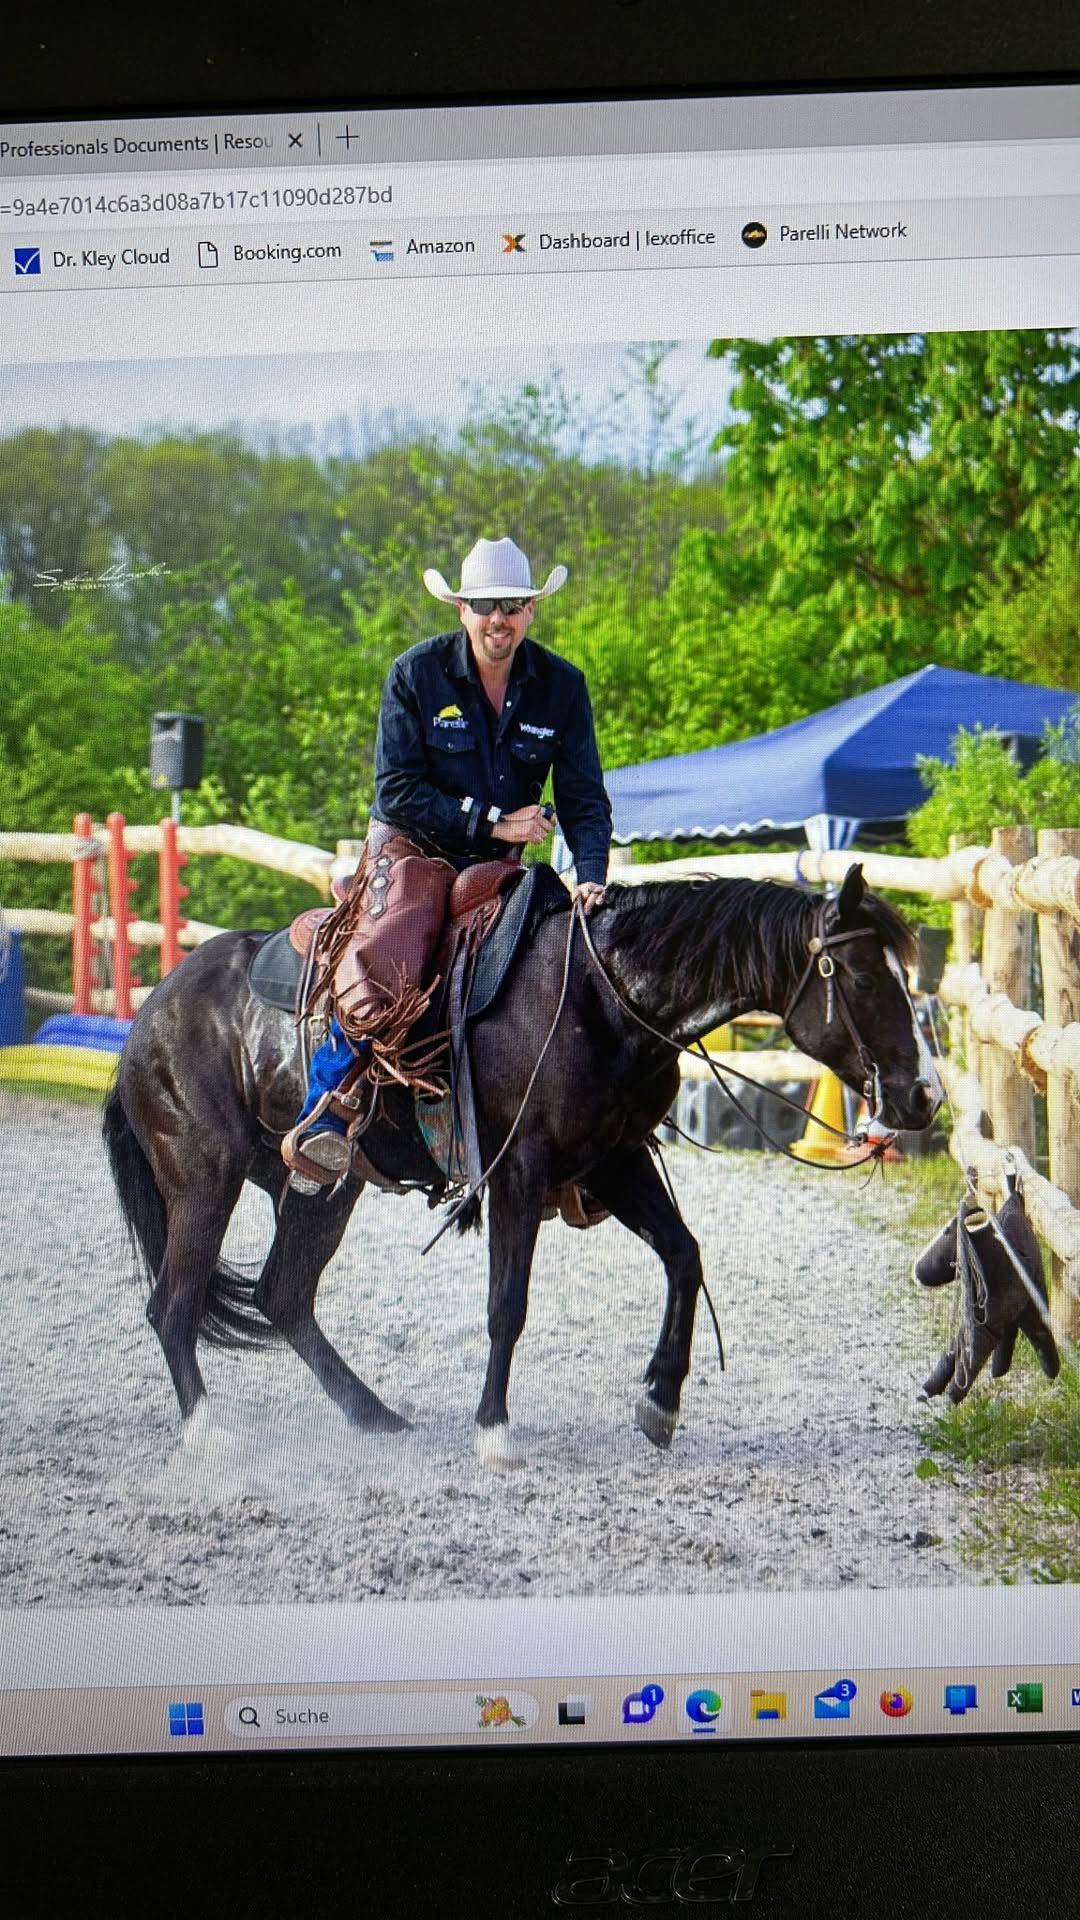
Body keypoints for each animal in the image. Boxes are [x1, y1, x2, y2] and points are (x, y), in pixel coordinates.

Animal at [105, 864, 937, 1459]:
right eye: (866, 979)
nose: (922, 1095)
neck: (600, 997)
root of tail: (148, 1019)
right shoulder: (516, 1173)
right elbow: (508, 1303)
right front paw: (494, 1430)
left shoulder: (614, 1162)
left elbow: (684, 1255)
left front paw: (660, 1400)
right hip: (202, 1182)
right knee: (173, 1304)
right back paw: (210, 1434)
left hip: (320, 1190)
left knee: (283, 1296)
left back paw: (373, 1415)